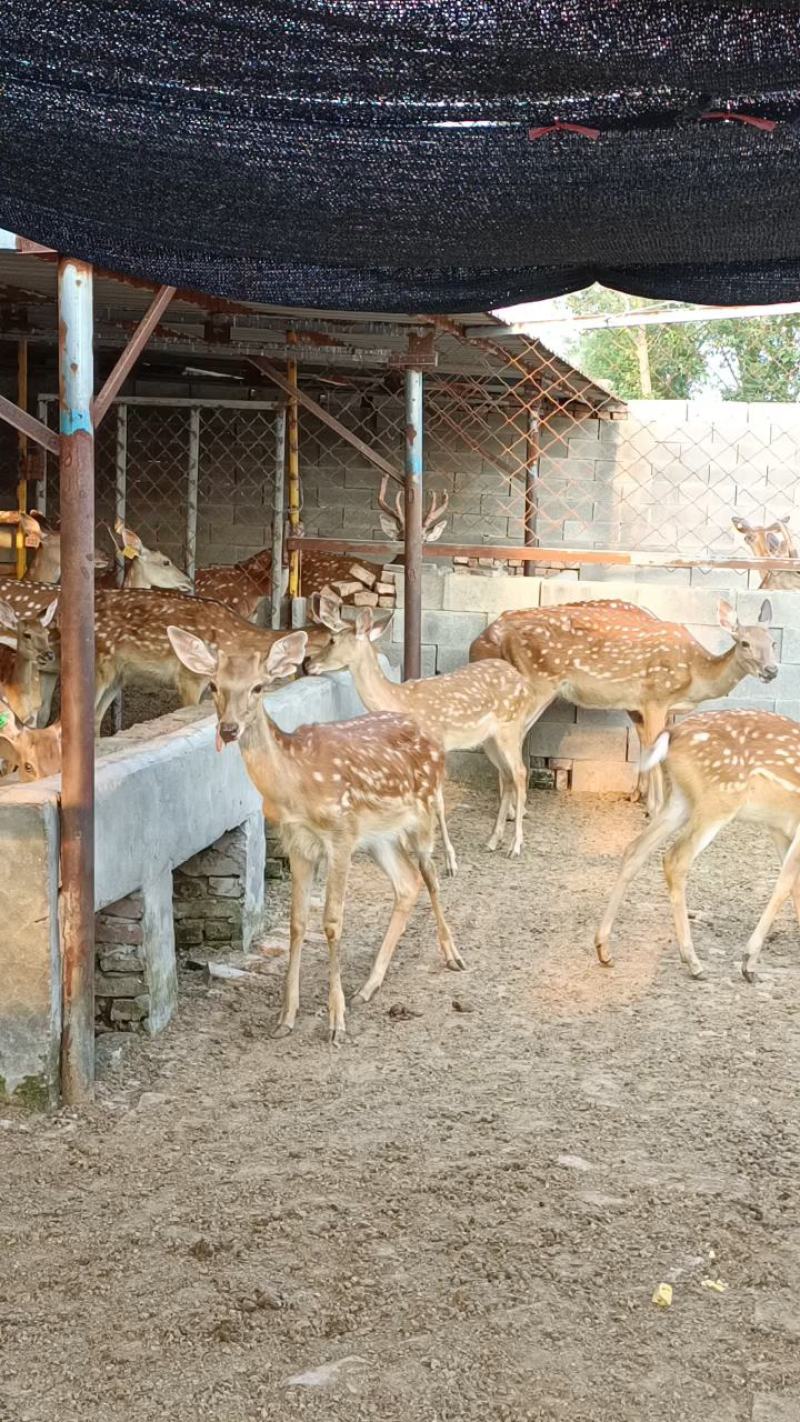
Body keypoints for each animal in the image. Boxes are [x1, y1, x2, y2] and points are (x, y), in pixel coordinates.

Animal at [166, 625, 464, 1043]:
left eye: (258, 687)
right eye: (213, 685)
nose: (229, 728)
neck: (295, 785)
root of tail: (429, 735)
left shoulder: (339, 835)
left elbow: (332, 922)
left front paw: (336, 1021)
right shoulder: (299, 843)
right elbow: (297, 923)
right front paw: (285, 1017)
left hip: (421, 812)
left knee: (432, 875)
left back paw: (452, 955)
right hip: (379, 837)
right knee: (407, 883)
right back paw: (368, 986)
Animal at [307, 592, 533, 870]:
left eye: (332, 639)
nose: (309, 664)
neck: (399, 700)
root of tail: (523, 682)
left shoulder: (435, 745)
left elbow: (438, 802)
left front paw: (450, 861)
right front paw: (406, 845)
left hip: (510, 726)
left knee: (520, 772)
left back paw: (515, 846)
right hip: (489, 739)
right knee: (508, 775)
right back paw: (492, 841)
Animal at [469, 597, 778, 814]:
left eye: (773, 642)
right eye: (745, 643)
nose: (772, 670)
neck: (695, 675)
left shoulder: (644, 706)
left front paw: (643, 799)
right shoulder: (655, 697)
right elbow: (656, 752)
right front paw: (654, 808)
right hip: (538, 682)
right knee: (511, 734)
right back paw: (513, 811)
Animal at [595, 708, 800, 984]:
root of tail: (671, 734)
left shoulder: (779, 827)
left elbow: (792, 885)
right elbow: (784, 885)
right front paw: (748, 963)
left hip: (681, 800)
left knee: (635, 849)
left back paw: (604, 949)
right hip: (719, 799)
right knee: (675, 858)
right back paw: (693, 962)